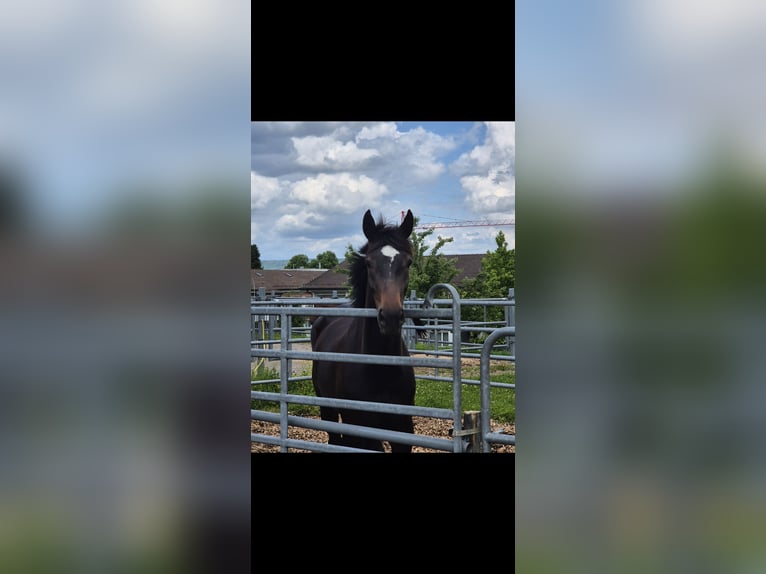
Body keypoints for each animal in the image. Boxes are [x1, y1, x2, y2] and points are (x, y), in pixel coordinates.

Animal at [311, 209, 416, 452]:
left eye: (408, 262)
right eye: (368, 263)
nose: (391, 317)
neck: (382, 369)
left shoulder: (403, 429)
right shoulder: (362, 429)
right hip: (328, 408)